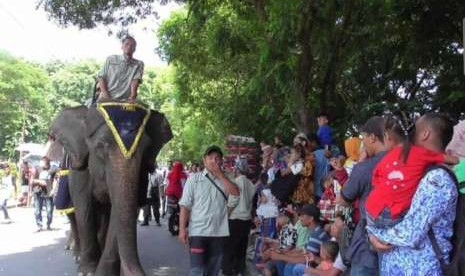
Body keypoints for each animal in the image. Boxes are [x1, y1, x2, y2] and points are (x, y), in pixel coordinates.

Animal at [47, 102, 172, 274]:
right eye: (101, 145)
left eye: (147, 148)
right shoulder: (80, 168)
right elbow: (84, 208)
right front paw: (87, 271)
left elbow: (116, 212)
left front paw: (104, 272)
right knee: (72, 215)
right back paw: (76, 254)